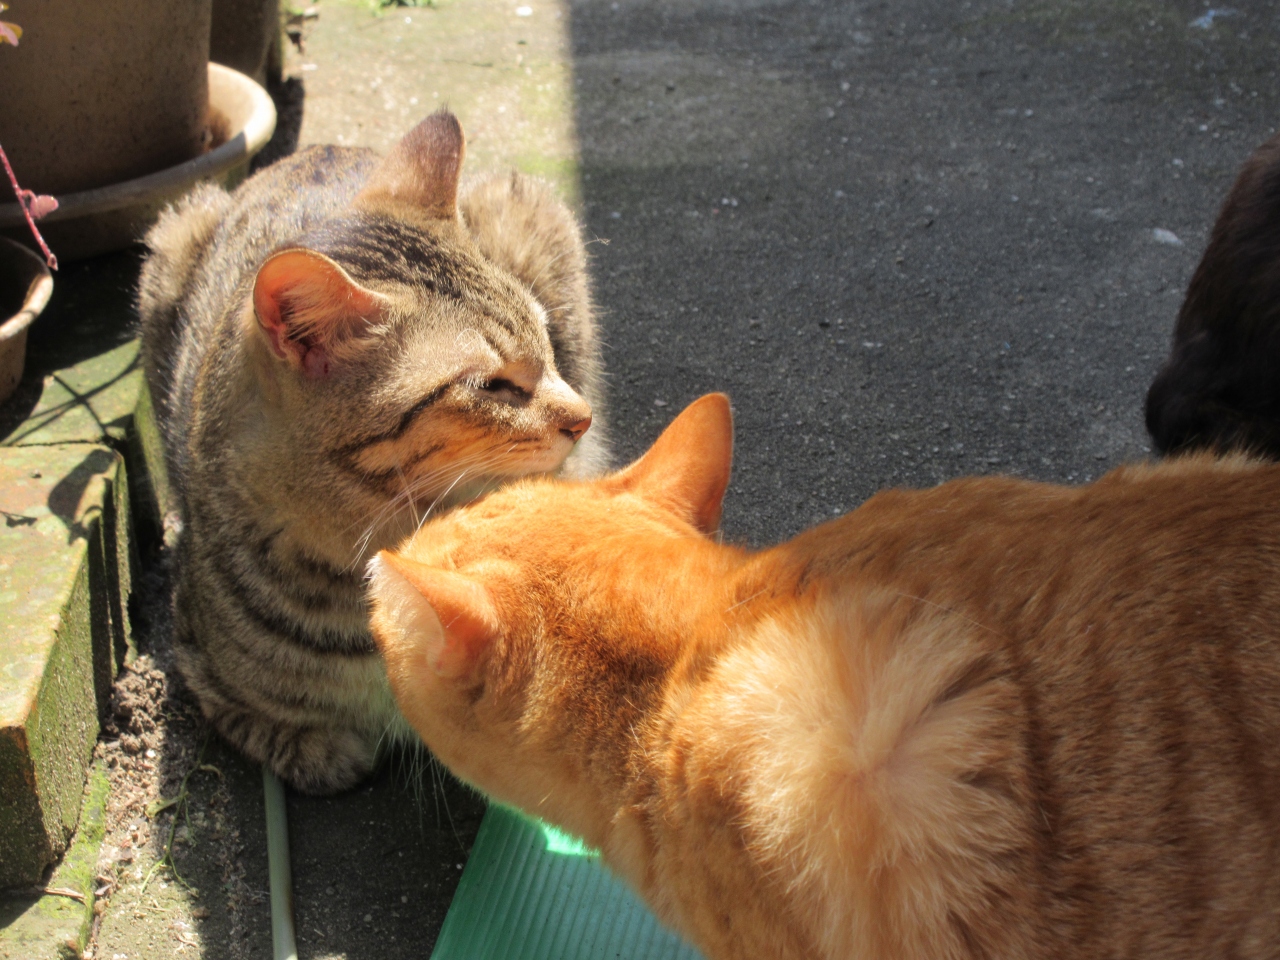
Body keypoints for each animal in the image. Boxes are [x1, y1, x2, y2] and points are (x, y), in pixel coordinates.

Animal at [137, 108, 606, 793]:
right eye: (492, 385)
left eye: (544, 343)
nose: (582, 417)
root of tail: (321, 147)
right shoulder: (202, 673)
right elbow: (289, 737)